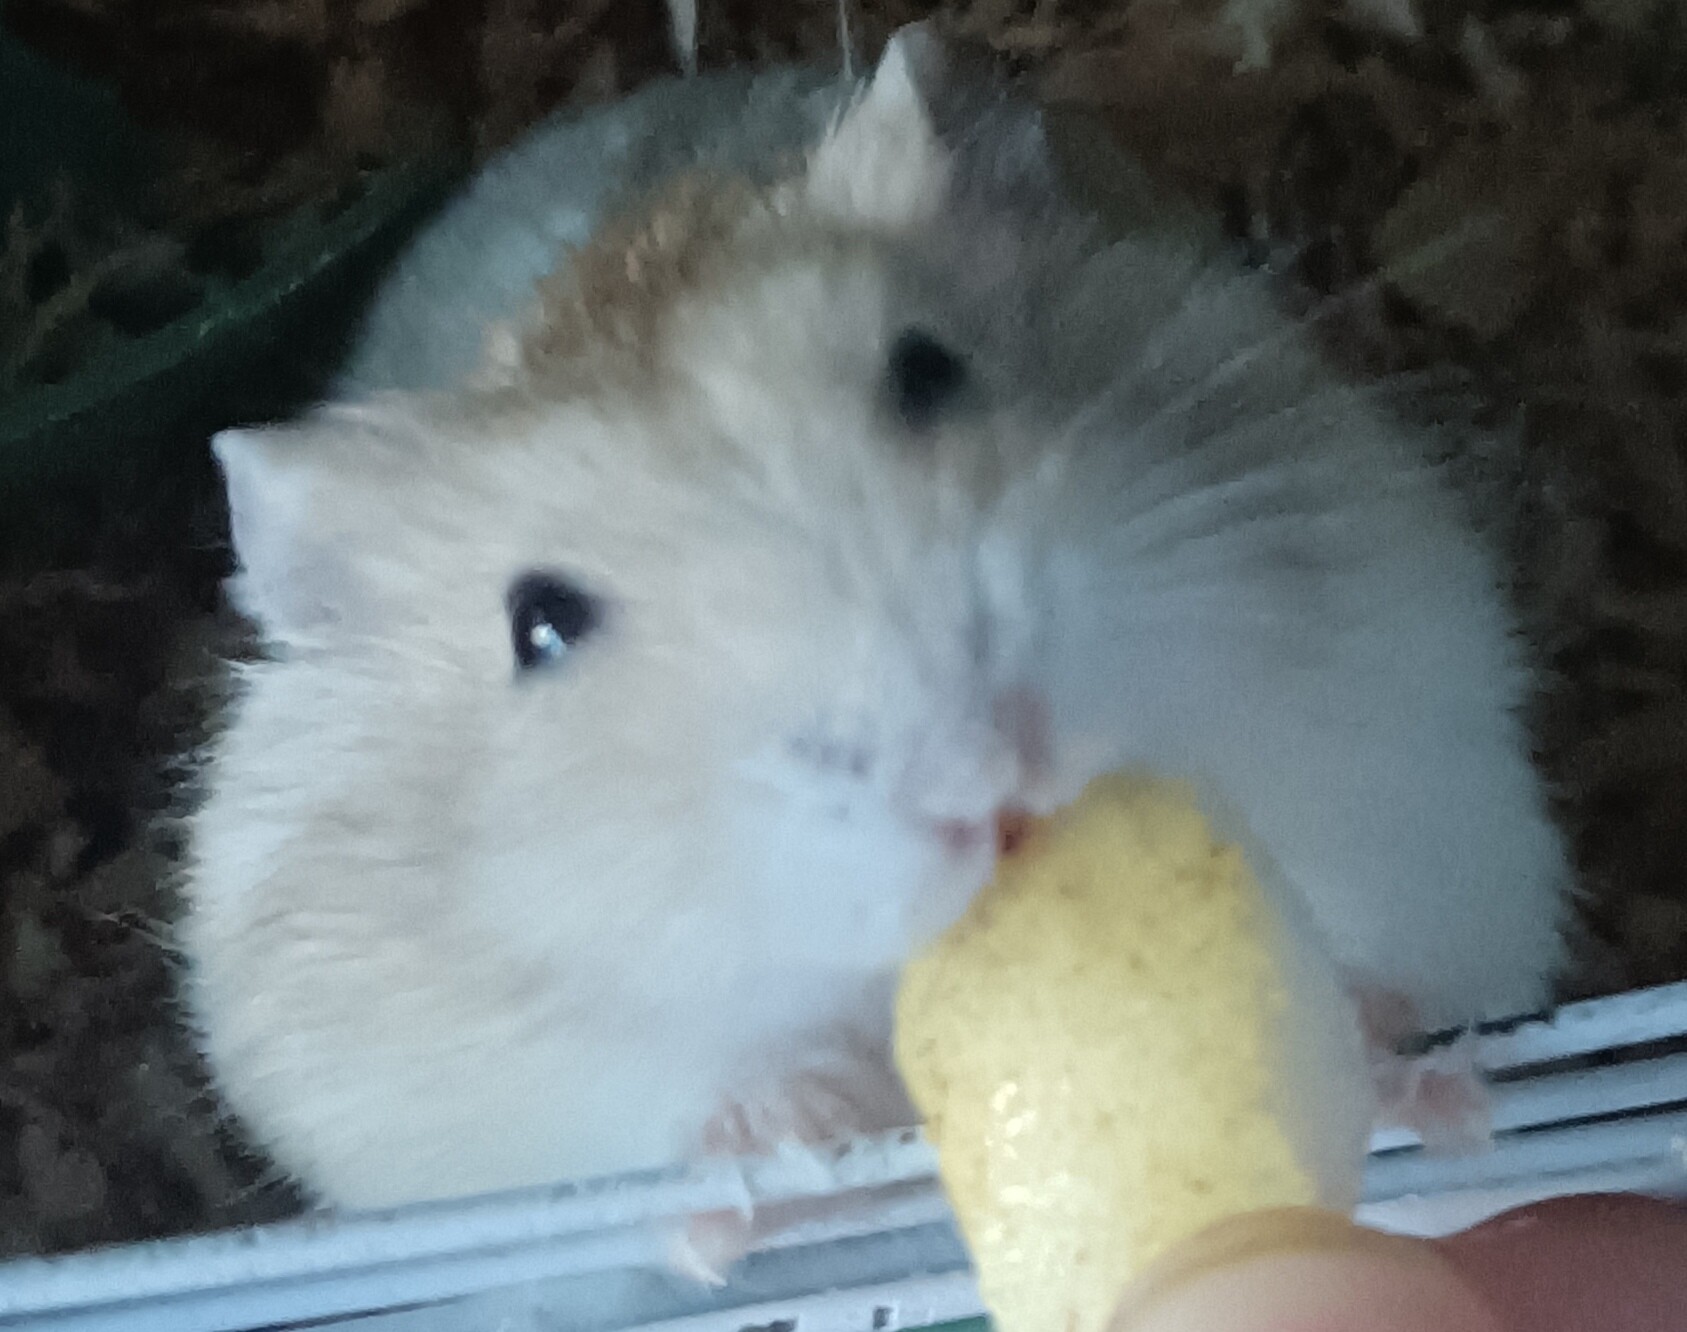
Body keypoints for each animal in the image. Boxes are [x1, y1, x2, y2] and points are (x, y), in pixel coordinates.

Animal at [181, 21, 1570, 1267]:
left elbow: (1396, 940)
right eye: (538, 626)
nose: (990, 774)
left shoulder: (1421, 748)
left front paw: (1419, 1085)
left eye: (928, 369)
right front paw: (800, 1130)